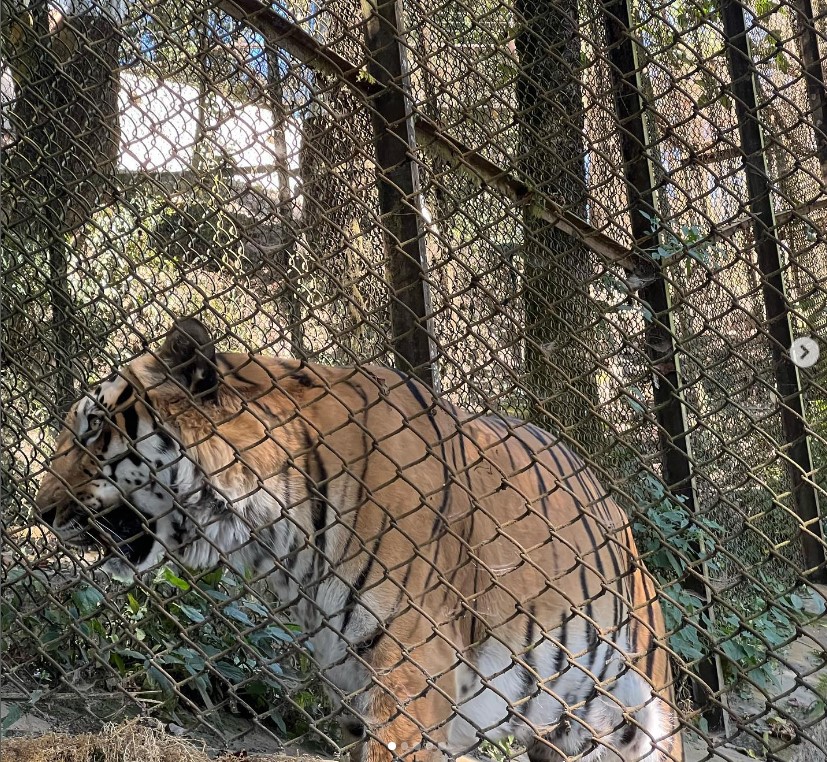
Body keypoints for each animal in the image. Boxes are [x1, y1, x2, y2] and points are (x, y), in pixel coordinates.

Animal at [37, 316, 684, 760]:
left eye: (92, 428)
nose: (41, 512)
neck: (281, 541)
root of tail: (618, 514)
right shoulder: (350, 691)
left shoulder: (410, 685)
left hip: (640, 716)